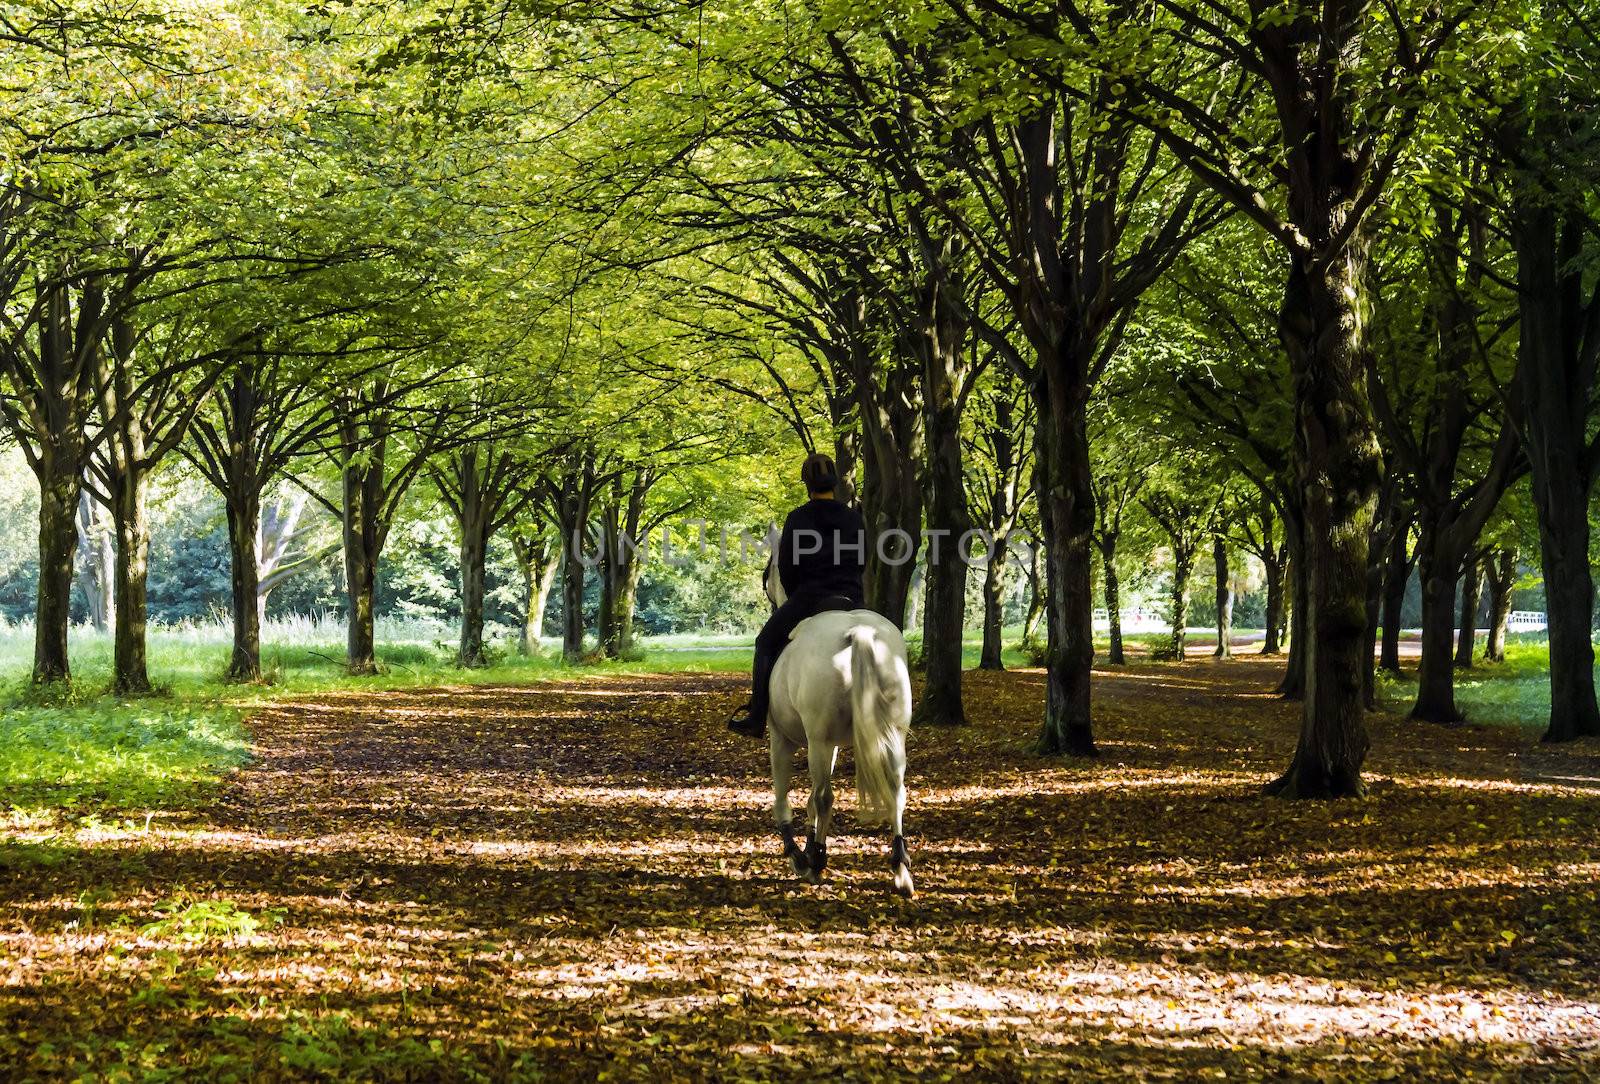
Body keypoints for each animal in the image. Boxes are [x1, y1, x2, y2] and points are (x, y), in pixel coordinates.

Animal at [761, 559, 915, 901]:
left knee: (824, 797)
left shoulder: (783, 739)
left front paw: (799, 855)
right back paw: (900, 869)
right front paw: (806, 847)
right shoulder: (828, 745)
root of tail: (859, 631)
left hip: (816, 741)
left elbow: (784, 798)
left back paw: (817, 860)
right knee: (896, 791)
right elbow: (807, 800)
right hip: (891, 737)